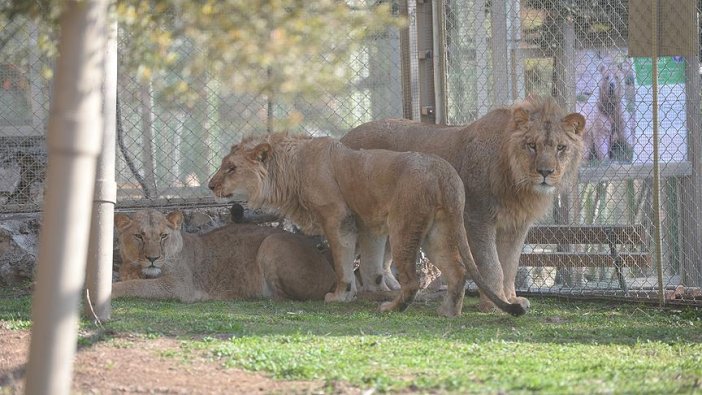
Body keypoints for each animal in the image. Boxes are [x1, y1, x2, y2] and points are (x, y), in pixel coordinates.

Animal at [113, 210, 338, 304]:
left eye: (163, 236)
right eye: (139, 236)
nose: (152, 258)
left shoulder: (179, 286)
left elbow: (135, 286)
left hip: (272, 241)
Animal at [208, 133, 528, 318]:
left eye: (231, 168)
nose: (210, 185)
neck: (291, 168)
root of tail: (444, 172)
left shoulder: (339, 219)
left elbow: (343, 264)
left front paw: (340, 296)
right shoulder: (370, 227)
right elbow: (372, 266)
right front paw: (363, 291)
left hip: (403, 228)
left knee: (412, 280)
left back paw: (393, 307)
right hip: (435, 234)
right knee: (457, 271)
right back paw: (448, 312)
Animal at [342, 96, 588, 312]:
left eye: (560, 147)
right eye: (531, 145)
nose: (545, 172)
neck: (517, 181)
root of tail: (344, 138)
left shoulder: (516, 226)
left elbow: (510, 266)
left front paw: (511, 299)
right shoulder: (477, 218)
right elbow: (492, 266)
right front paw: (494, 304)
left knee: (381, 265)